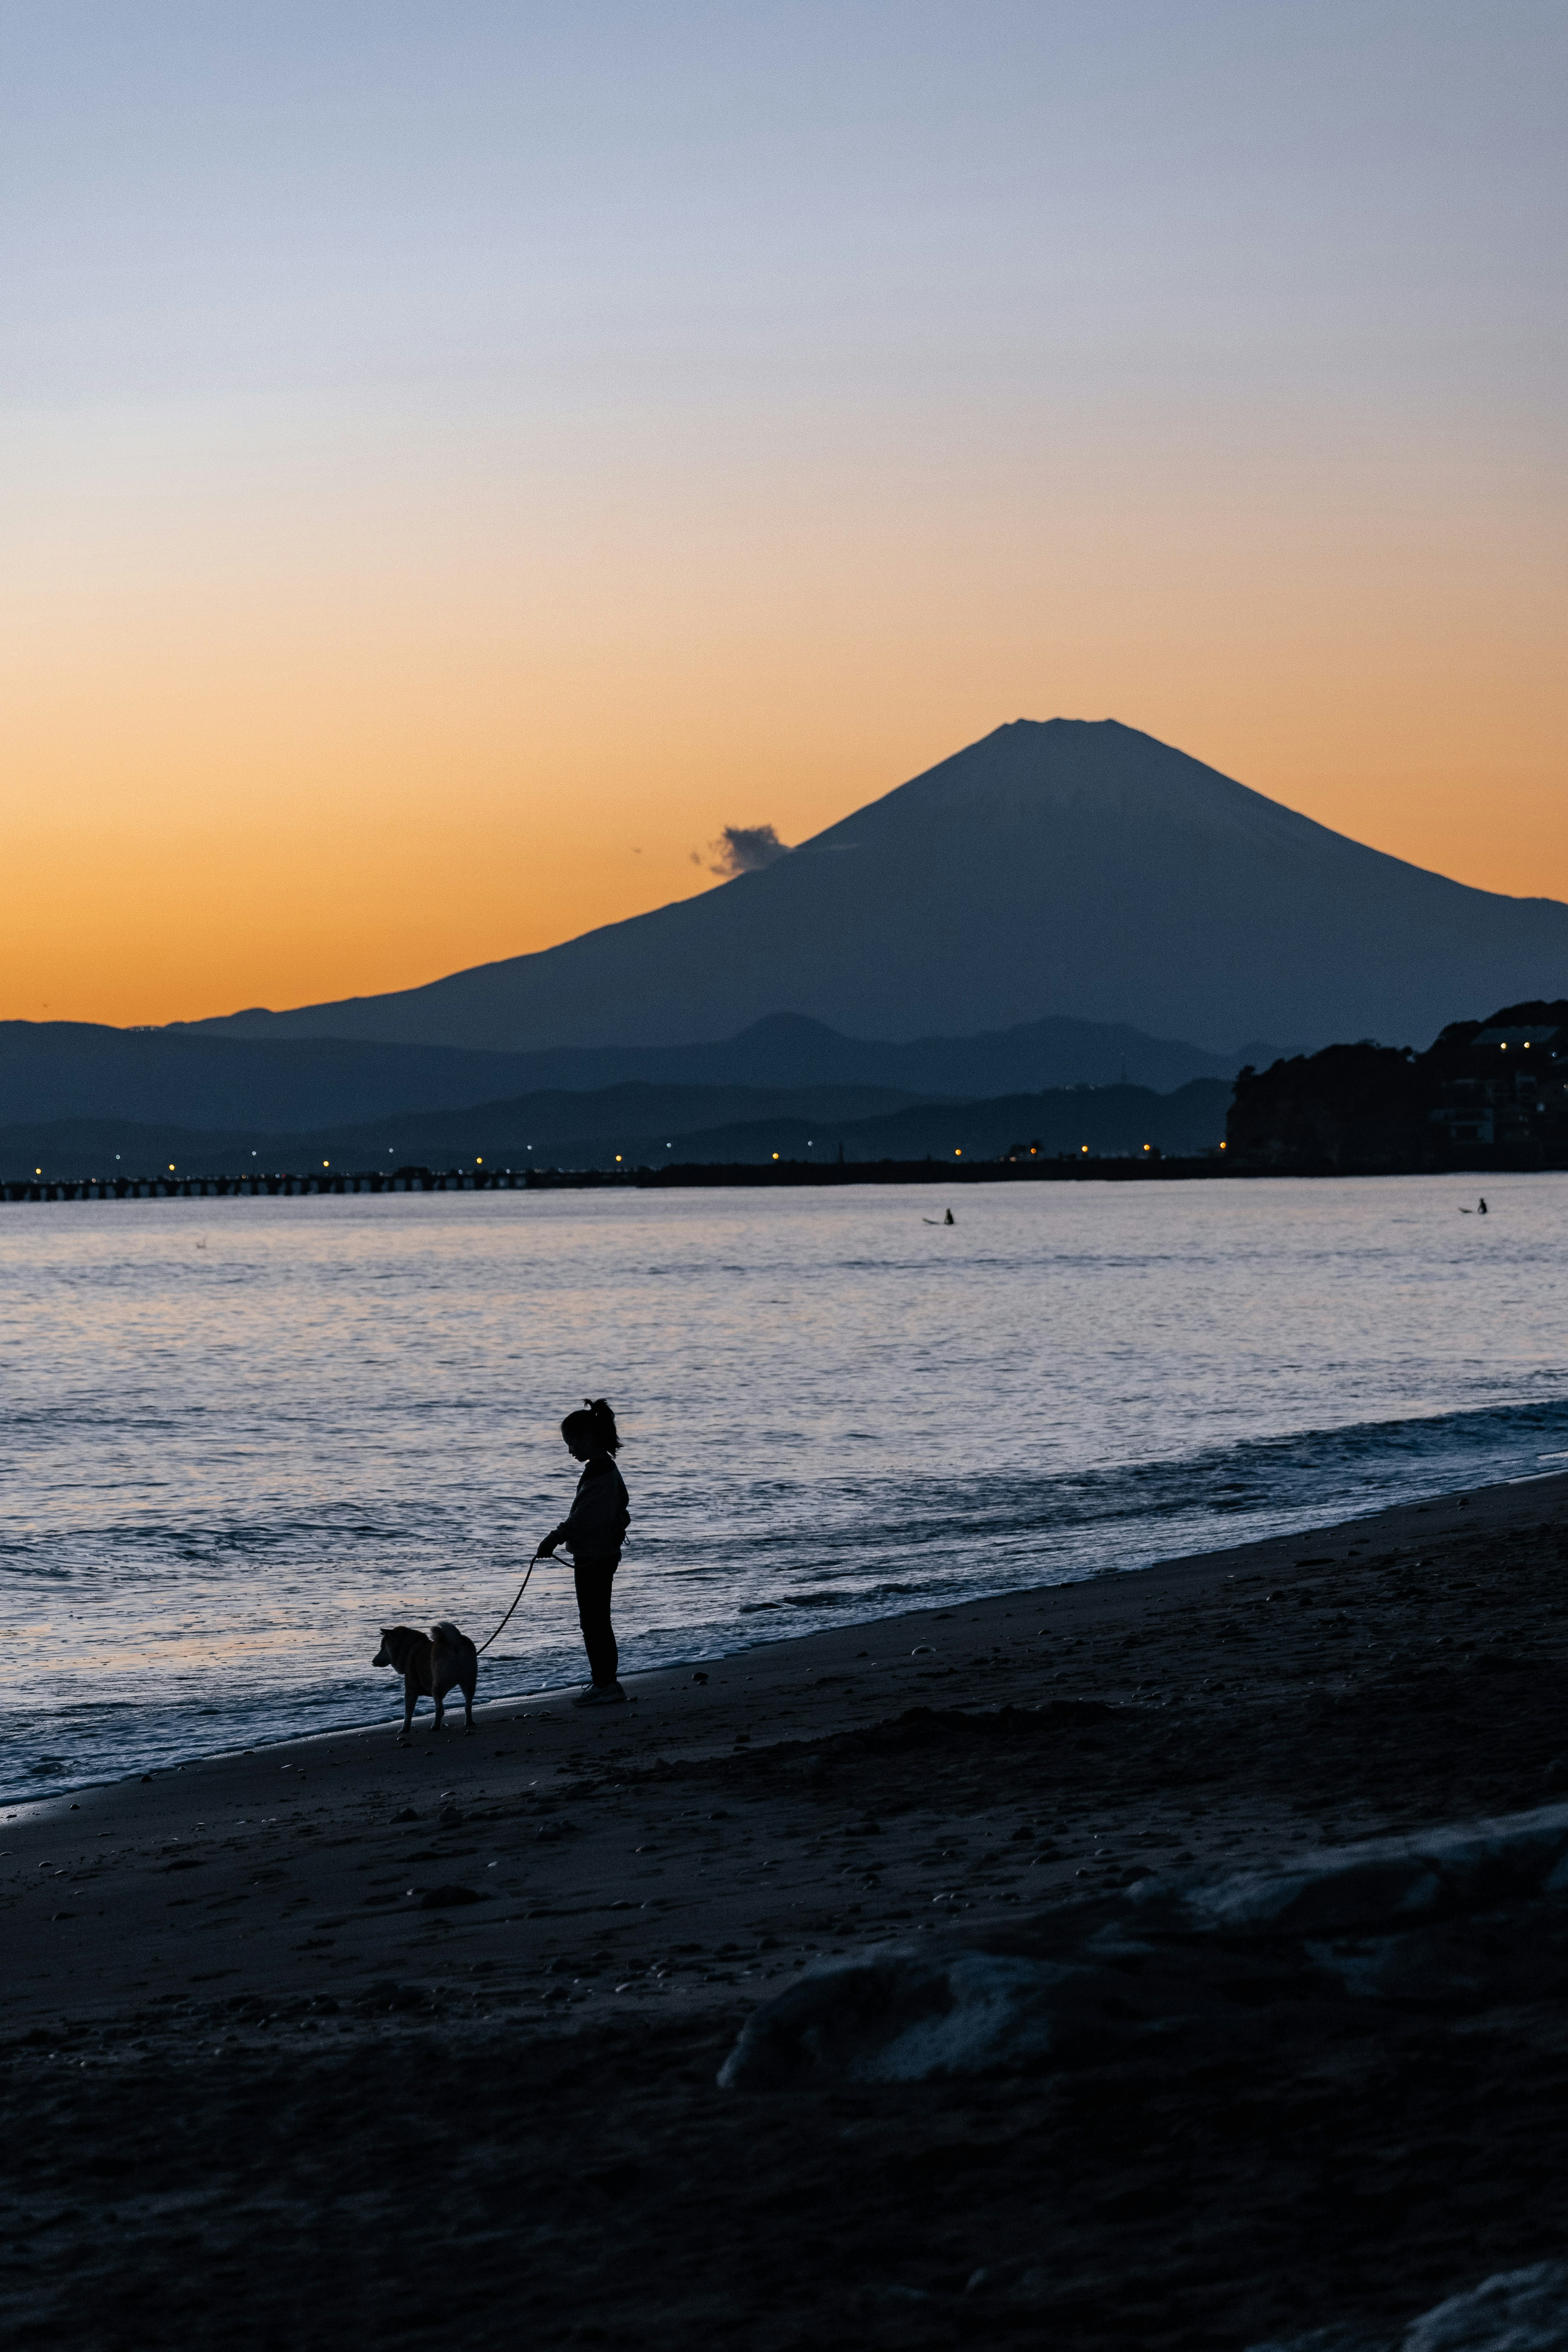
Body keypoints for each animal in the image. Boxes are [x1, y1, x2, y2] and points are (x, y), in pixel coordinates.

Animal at [374, 1627, 479, 1740]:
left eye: (382, 1648)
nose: (373, 1661)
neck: (409, 1648)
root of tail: (454, 1641)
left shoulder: (410, 1691)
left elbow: (408, 1713)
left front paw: (404, 1729)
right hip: (469, 1682)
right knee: (468, 1705)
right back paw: (469, 1722)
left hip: (438, 1686)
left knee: (439, 1708)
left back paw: (435, 1726)